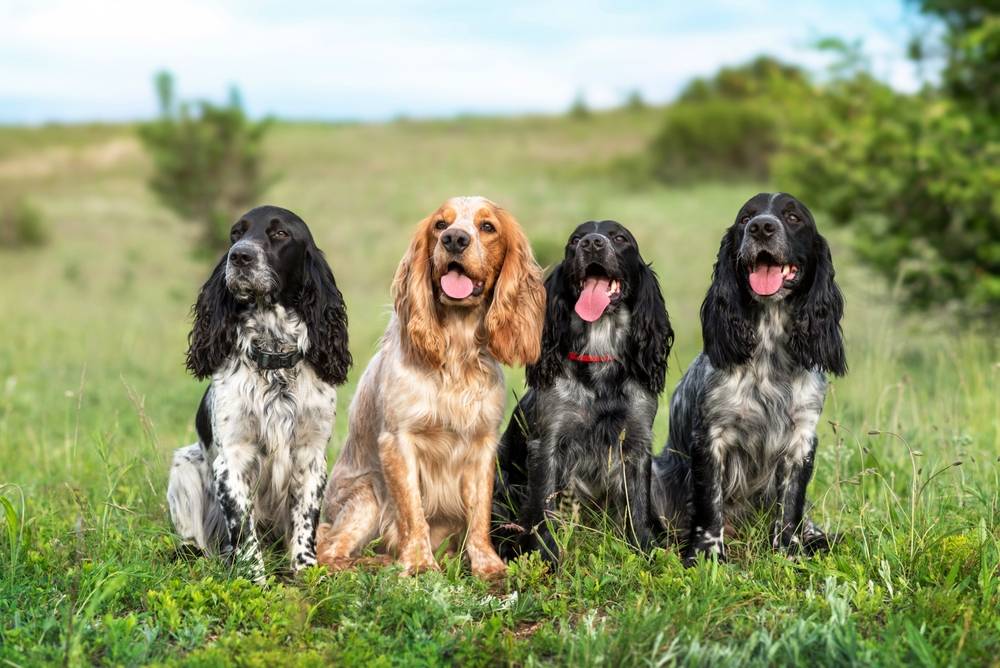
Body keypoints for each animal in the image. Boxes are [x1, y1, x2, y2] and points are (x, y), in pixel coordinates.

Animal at [172, 206, 356, 580]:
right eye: (235, 233)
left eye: (280, 234)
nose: (239, 255)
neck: (274, 361)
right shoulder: (232, 458)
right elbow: (243, 530)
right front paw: (254, 578)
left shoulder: (311, 455)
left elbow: (305, 522)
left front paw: (305, 571)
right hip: (182, 467)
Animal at [492, 222, 672, 568]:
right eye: (575, 240)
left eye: (619, 238)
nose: (592, 243)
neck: (599, 356)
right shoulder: (549, 442)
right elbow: (543, 509)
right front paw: (546, 557)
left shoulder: (636, 443)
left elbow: (638, 508)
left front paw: (644, 549)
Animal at [648, 192, 844, 564]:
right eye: (745, 218)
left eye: (793, 217)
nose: (762, 227)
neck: (768, 348)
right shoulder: (710, 437)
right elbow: (709, 505)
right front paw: (708, 555)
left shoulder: (801, 440)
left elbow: (790, 507)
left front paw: (789, 553)